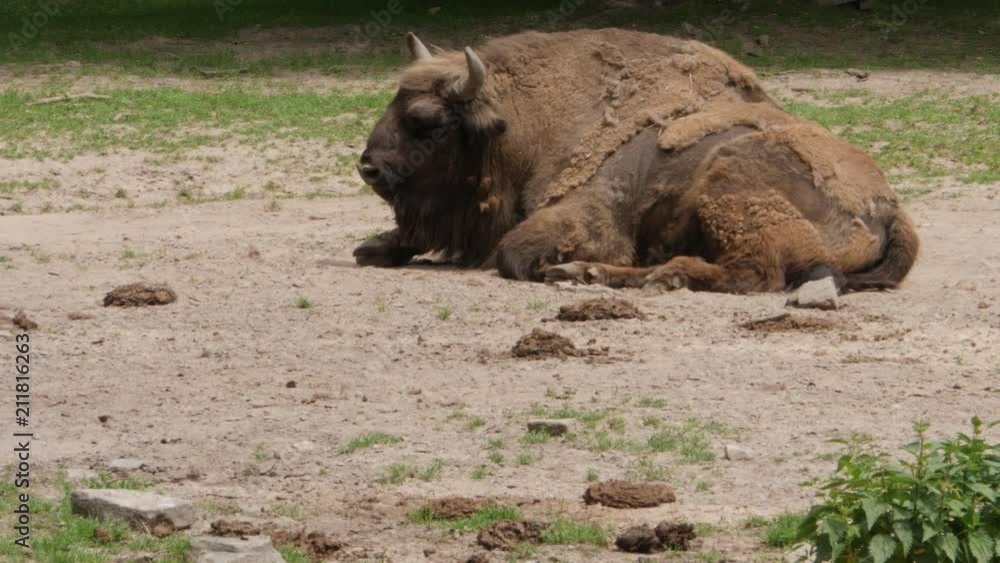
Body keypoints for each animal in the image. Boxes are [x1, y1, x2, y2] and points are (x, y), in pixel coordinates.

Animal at [356, 29, 916, 296]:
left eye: (425, 121)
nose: (369, 168)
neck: (531, 123)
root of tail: (888, 205)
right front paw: (374, 246)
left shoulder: (587, 216)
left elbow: (513, 255)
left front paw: (562, 267)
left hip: (730, 188)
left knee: (752, 273)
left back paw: (642, 277)